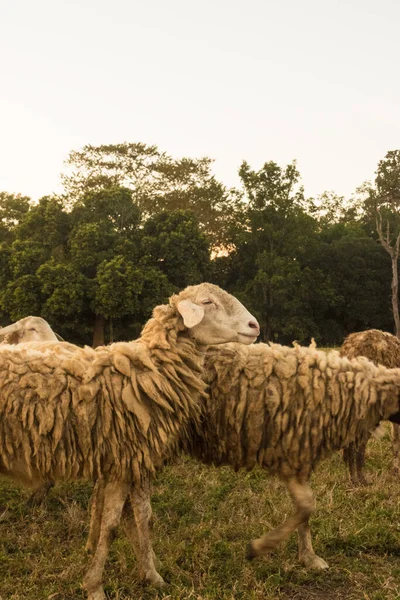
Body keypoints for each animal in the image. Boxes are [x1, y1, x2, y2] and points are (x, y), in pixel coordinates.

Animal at [0, 284, 260, 600]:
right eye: (207, 302)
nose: (254, 326)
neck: (147, 372)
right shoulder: (121, 463)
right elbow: (111, 525)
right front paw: (95, 586)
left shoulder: (137, 461)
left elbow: (142, 519)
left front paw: (153, 576)